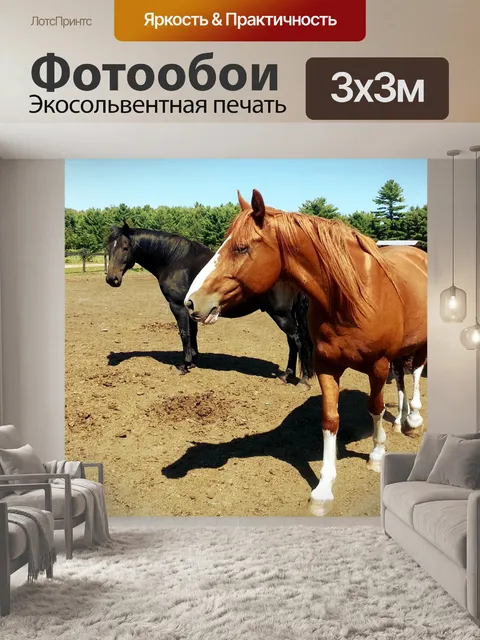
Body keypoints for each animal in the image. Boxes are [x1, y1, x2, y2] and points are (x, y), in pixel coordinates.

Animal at [105, 222, 314, 382]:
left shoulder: (177, 306)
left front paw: (184, 365)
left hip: (281, 314)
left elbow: (184, 334)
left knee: (297, 340)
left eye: (125, 247)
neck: (175, 260)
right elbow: (193, 333)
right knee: (294, 341)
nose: (111, 279)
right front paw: (193, 360)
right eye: (108, 248)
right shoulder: (190, 307)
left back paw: (296, 377)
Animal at [184, 189, 427, 516]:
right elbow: (330, 420)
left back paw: (413, 420)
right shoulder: (326, 366)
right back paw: (401, 421)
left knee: (414, 373)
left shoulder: (377, 365)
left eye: (241, 248)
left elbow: (375, 407)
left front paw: (377, 454)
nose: (191, 301)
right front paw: (324, 489)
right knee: (401, 376)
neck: (349, 297)